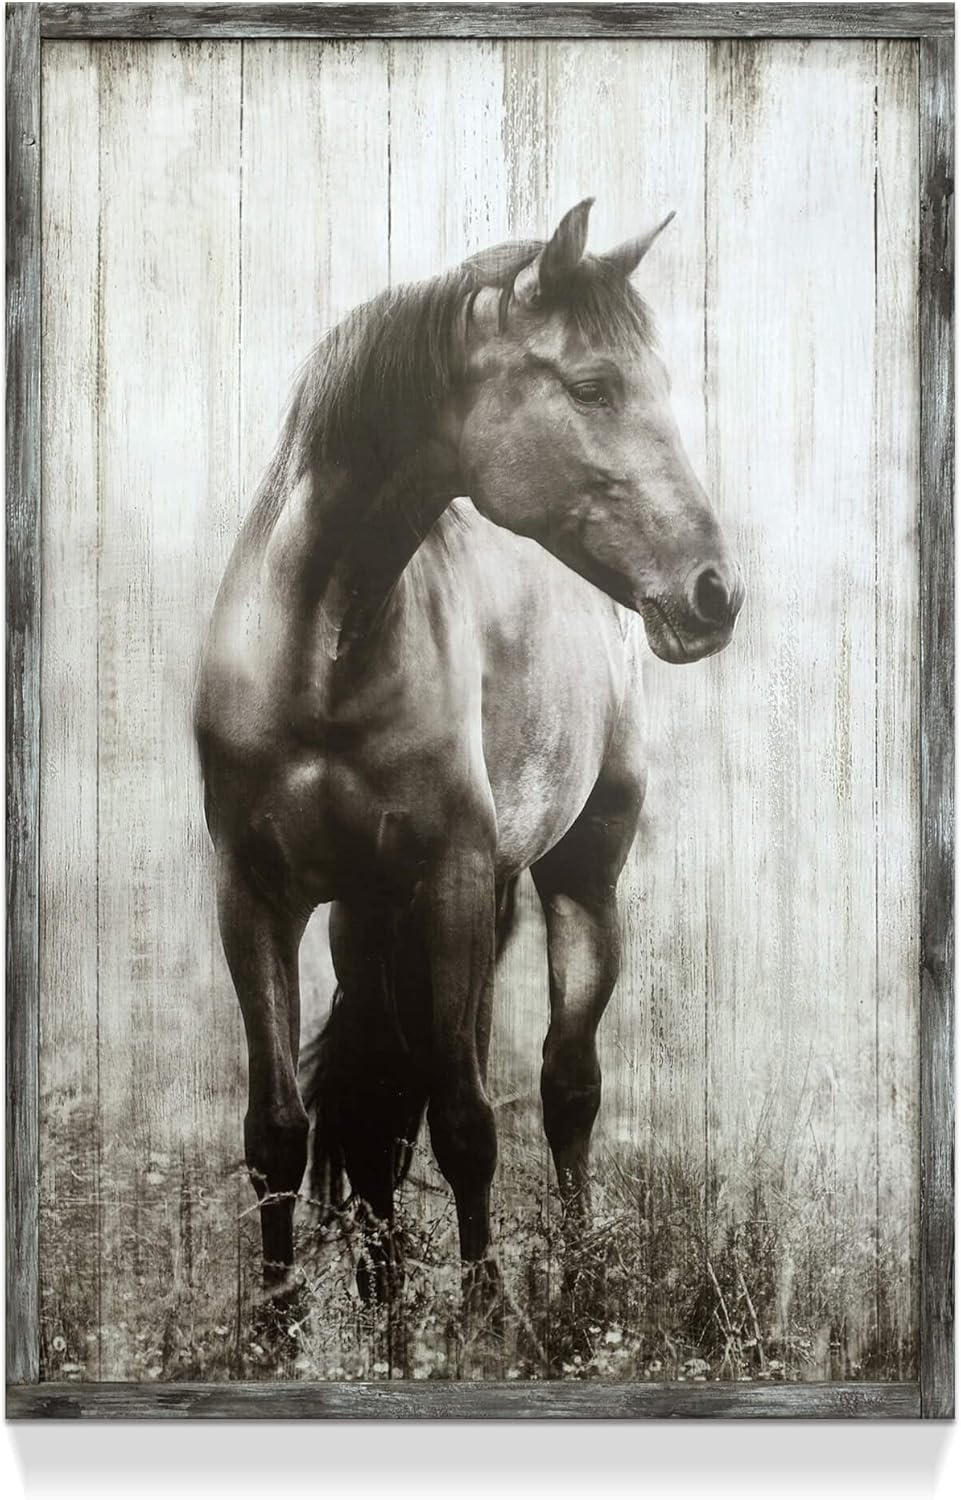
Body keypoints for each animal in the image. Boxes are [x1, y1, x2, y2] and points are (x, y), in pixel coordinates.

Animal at [195, 199, 744, 1311]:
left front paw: (485, 1312)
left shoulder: (448, 883)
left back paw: (572, 1278)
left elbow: (466, 1124)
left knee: (565, 1085)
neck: (321, 654)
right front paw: (275, 1322)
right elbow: (277, 1134)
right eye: (592, 386)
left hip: (574, 879)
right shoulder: (253, 893)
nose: (712, 592)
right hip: (377, 916)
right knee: (377, 1098)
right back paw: (386, 1290)